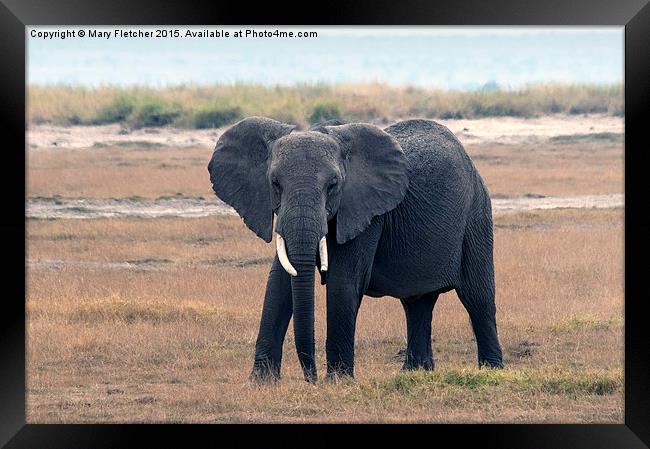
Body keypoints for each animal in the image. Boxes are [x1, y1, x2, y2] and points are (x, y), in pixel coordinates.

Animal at [208, 116, 502, 382]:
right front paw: (261, 381)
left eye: (333, 185)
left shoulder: (366, 212)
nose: (310, 378)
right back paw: (414, 373)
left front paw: (337, 382)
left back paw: (491, 371)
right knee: (417, 303)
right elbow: (278, 283)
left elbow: (343, 281)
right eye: (274, 184)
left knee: (477, 298)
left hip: (477, 215)